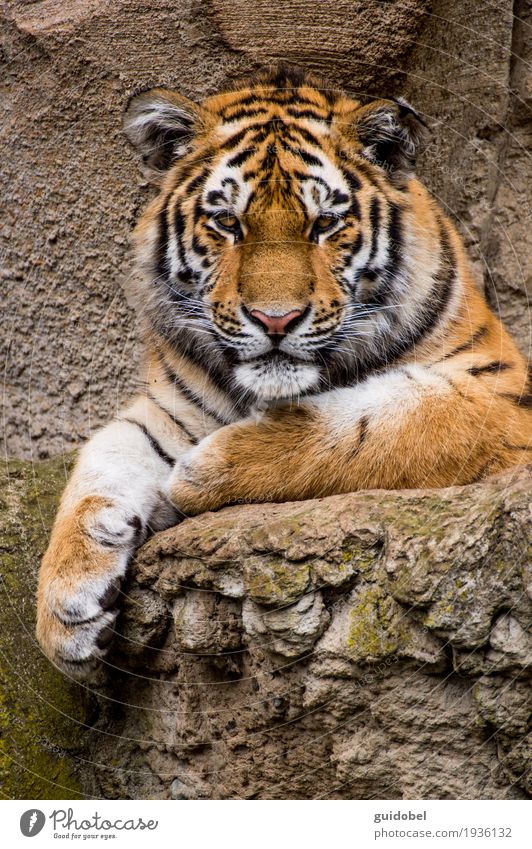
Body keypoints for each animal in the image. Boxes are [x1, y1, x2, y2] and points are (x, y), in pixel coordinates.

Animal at [35, 66, 528, 676]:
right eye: (228, 222)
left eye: (325, 224)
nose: (276, 319)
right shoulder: (171, 409)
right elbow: (101, 461)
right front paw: (65, 605)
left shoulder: (501, 394)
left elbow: (383, 428)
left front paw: (203, 471)